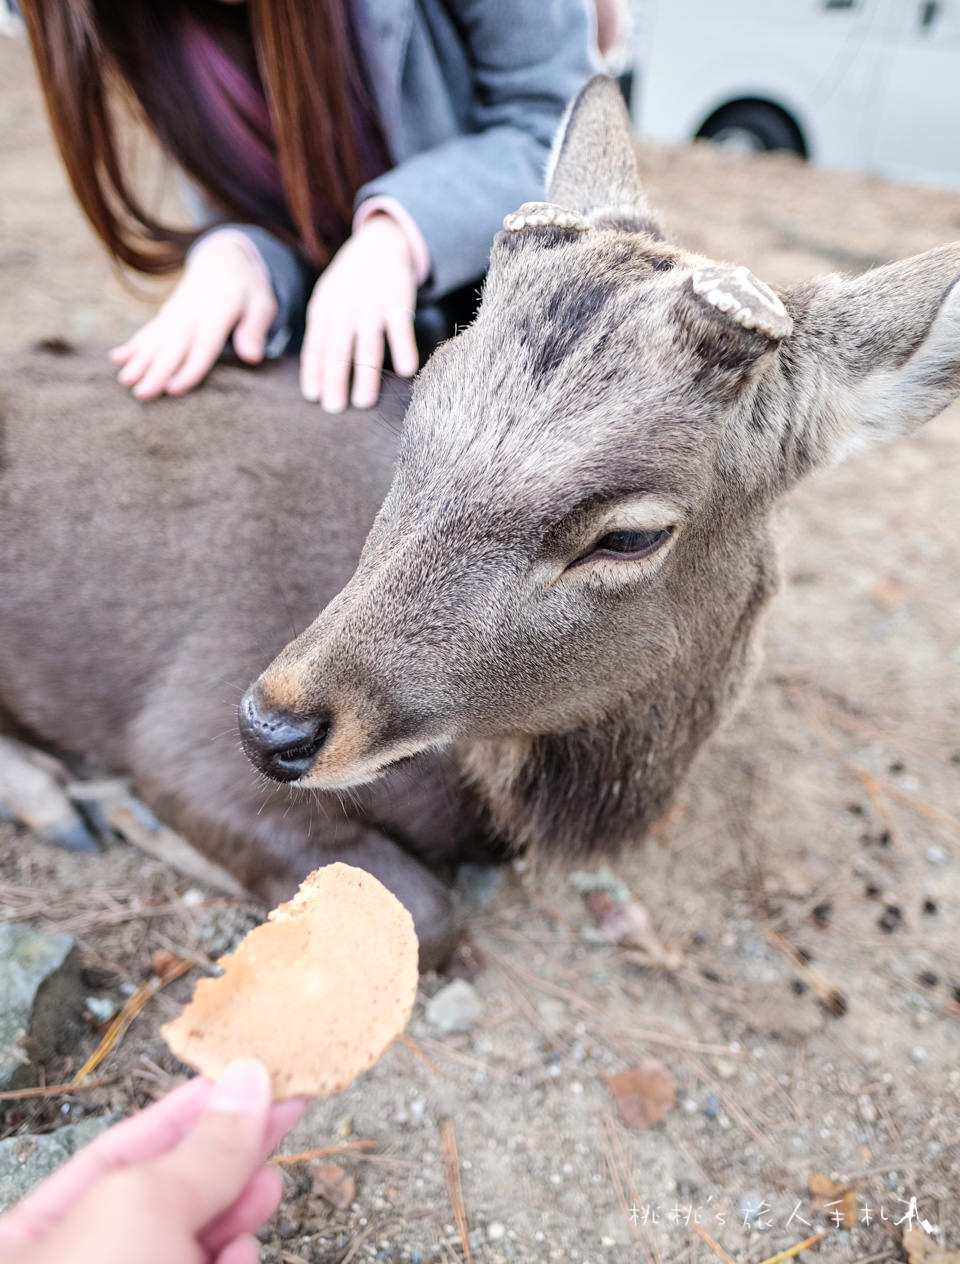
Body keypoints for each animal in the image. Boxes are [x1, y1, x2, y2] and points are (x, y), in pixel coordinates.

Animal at [1, 79, 960, 965]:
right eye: (413, 416)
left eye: (630, 535)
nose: (272, 729)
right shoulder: (179, 725)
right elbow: (425, 915)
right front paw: (129, 811)